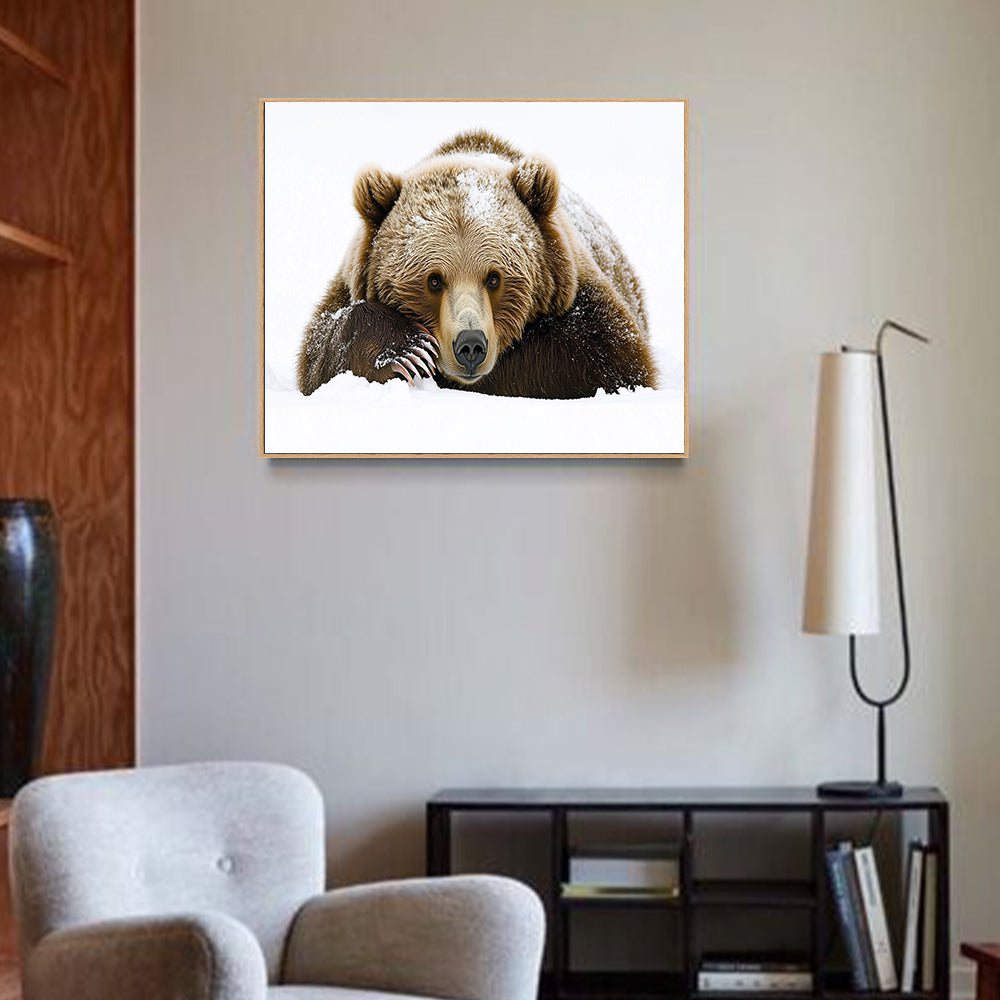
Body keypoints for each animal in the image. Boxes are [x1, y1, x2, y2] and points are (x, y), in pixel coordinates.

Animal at [296, 129, 658, 400]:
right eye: (433, 280)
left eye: (494, 278)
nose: (470, 345)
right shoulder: (349, 283)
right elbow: (318, 354)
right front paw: (407, 352)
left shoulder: (580, 295)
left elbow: (606, 359)